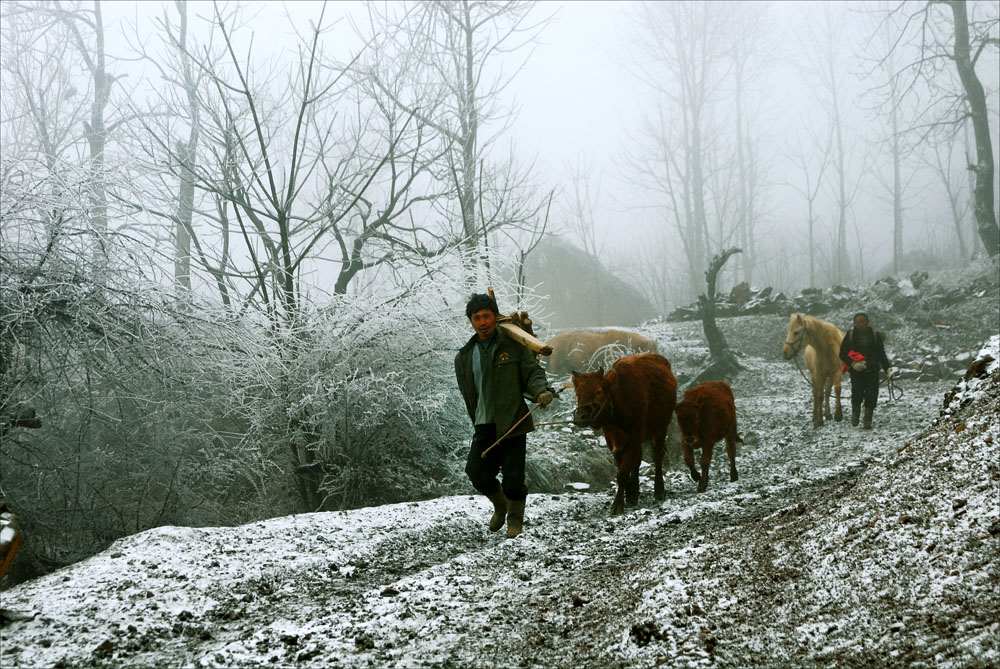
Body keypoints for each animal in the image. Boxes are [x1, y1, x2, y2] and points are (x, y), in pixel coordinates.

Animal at [576, 352, 676, 516]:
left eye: (598, 391)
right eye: (578, 393)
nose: (580, 417)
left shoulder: (633, 439)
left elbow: (622, 473)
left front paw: (617, 505)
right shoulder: (613, 442)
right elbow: (623, 467)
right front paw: (629, 495)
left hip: (661, 429)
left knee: (657, 456)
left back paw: (659, 491)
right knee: (638, 461)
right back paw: (633, 494)